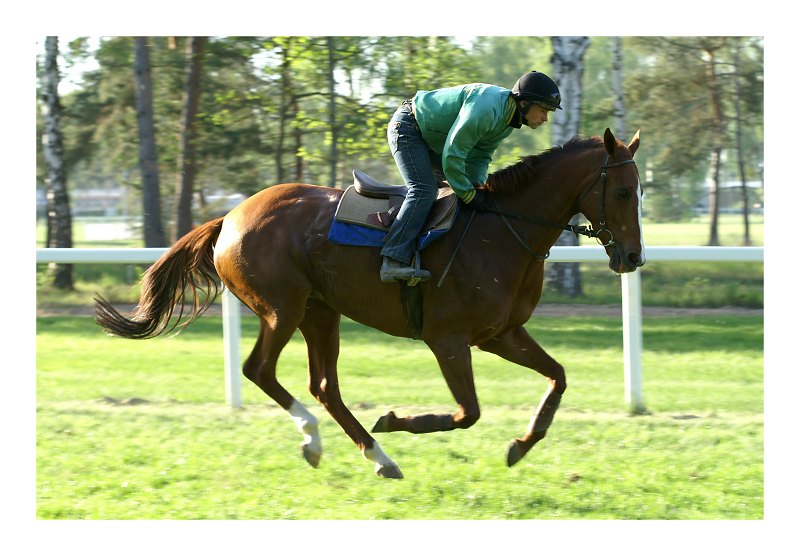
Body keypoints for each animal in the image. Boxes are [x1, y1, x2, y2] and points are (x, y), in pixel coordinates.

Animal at [95, 128, 644, 480]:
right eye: (621, 190)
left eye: (641, 191)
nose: (633, 256)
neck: (501, 231)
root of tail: (229, 217)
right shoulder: (448, 340)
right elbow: (467, 412)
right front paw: (397, 420)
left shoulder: (499, 335)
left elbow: (558, 377)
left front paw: (521, 445)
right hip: (282, 308)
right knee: (260, 370)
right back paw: (317, 438)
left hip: (321, 312)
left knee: (323, 387)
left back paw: (379, 457)